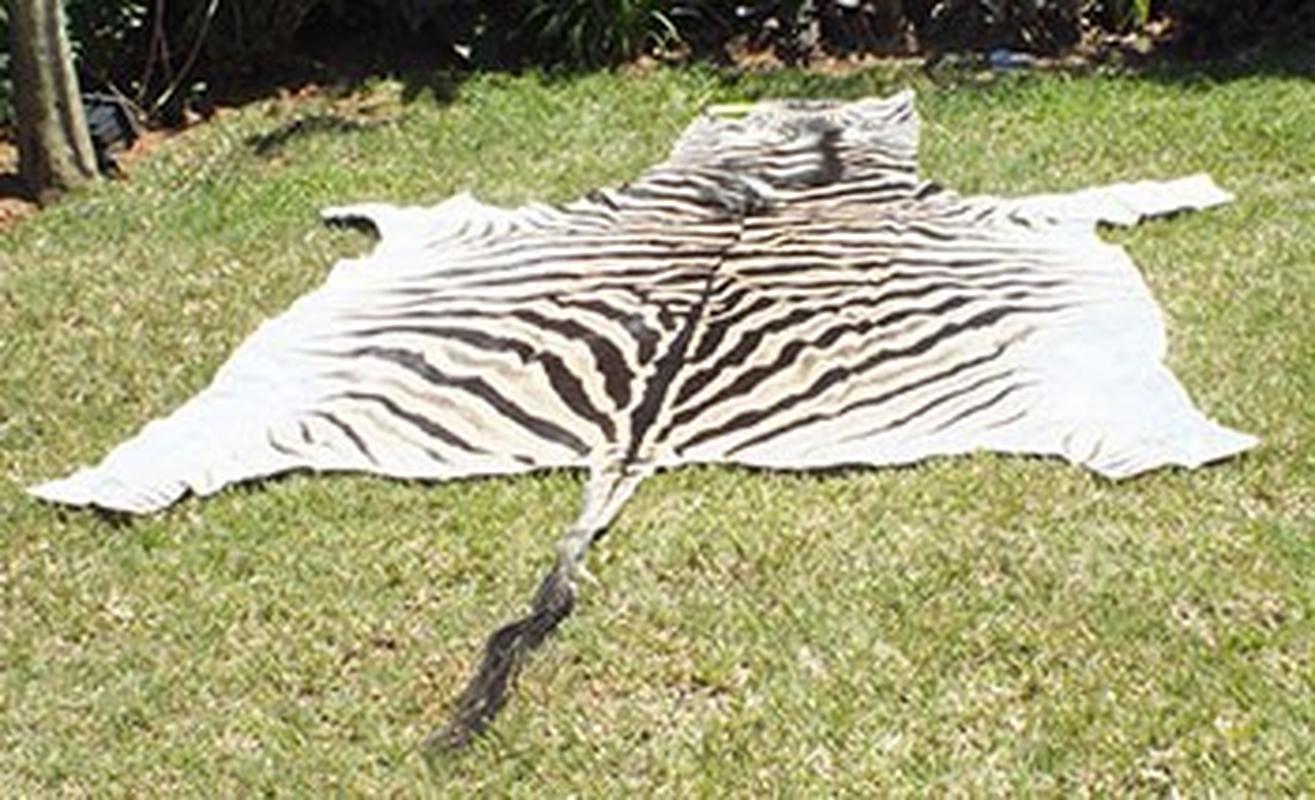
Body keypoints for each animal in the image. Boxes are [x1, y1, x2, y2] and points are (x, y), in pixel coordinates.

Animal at [29, 91, 1256, 750]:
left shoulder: (469, 220)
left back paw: (93, 485)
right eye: (776, 118)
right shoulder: (1028, 211)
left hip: (299, 386)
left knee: (202, 439)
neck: (775, 179)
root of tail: (635, 426)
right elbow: (1117, 193)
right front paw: (1200, 183)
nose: (802, 109)